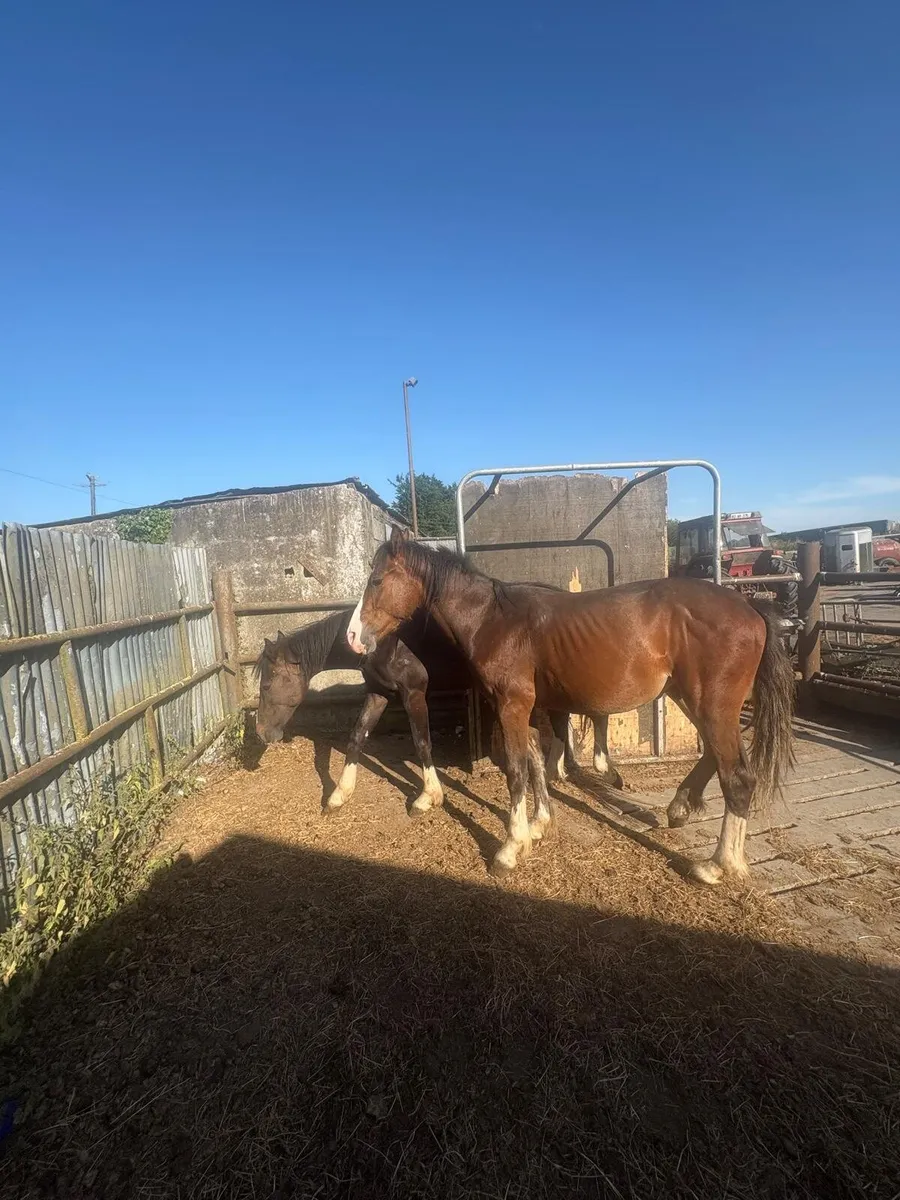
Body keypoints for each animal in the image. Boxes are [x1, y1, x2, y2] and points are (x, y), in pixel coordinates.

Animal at [254, 608, 596, 813]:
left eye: (266, 685)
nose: (261, 733)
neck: (384, 643)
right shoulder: (379, 693)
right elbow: (357, 737)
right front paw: (339, 794)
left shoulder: (414, 694)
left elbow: (421, 742)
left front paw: (428, 796)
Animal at [346, 528, 795, 885]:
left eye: (378, 579)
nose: (353, 637)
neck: (496, 621)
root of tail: (752, 609)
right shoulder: (529, 709)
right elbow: (535, 763)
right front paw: (538, 826)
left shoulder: (512, 705)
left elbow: (516, 771)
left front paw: (510, 848)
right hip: (693, 700)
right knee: (716, 759)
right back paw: (680, 808)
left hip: (712, 704)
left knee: (737, 776)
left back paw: (719, 865)